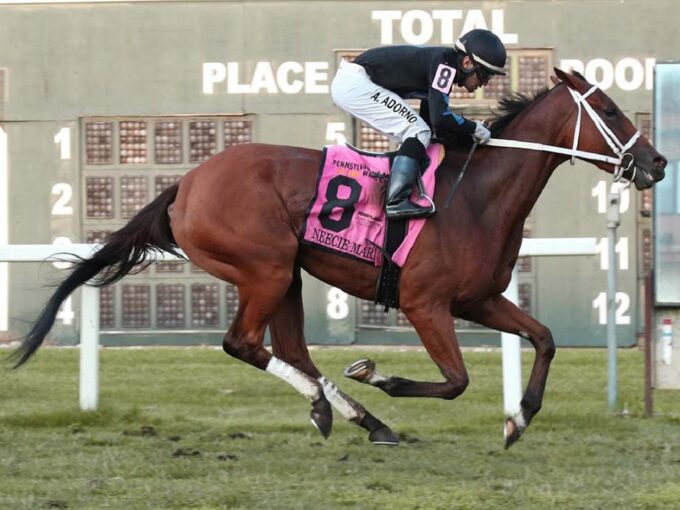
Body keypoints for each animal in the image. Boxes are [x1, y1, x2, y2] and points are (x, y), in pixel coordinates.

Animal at [13, 67, 668, 446]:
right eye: (611, 110)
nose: (658, 163)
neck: (477, 194)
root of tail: (187, 183)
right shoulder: (425, 303)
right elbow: (455, 380)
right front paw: (381, 374)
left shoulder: (478, 298)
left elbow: (545, 338)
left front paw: (518, 420)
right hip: (265, 267)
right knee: (244, 344)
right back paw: (351, 412)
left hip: (286, 275)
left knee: (291, 351)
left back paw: (352, 417)